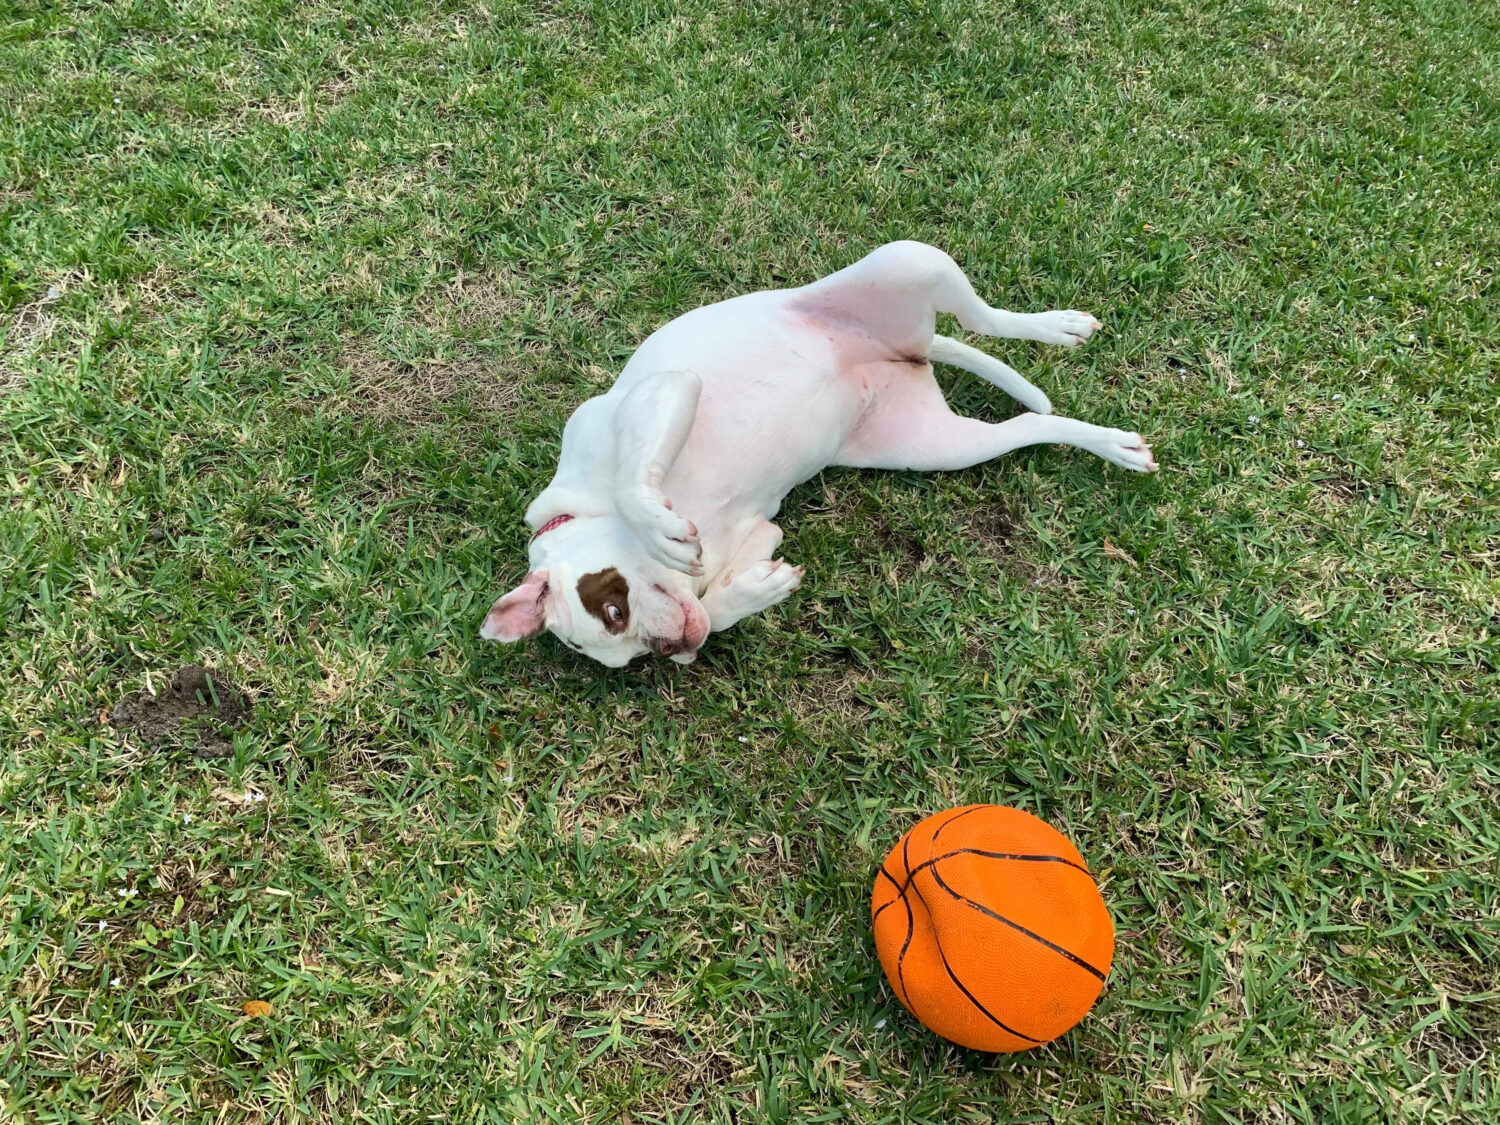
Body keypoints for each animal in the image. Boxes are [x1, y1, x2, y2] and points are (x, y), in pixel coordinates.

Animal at [480, 243, 1158, 666]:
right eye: (634, 656)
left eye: (613, 609)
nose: (676, 652)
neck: (581, 515)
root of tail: (905, 352)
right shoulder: (760, 536)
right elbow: (721, 598)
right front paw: (748, 597)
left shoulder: (664, 392)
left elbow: (633, 485)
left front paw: (661, 531)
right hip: (935, 445)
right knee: (1025, 423)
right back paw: (1111, 443)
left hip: (906, 260)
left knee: (983, 319)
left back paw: (1056, 326)